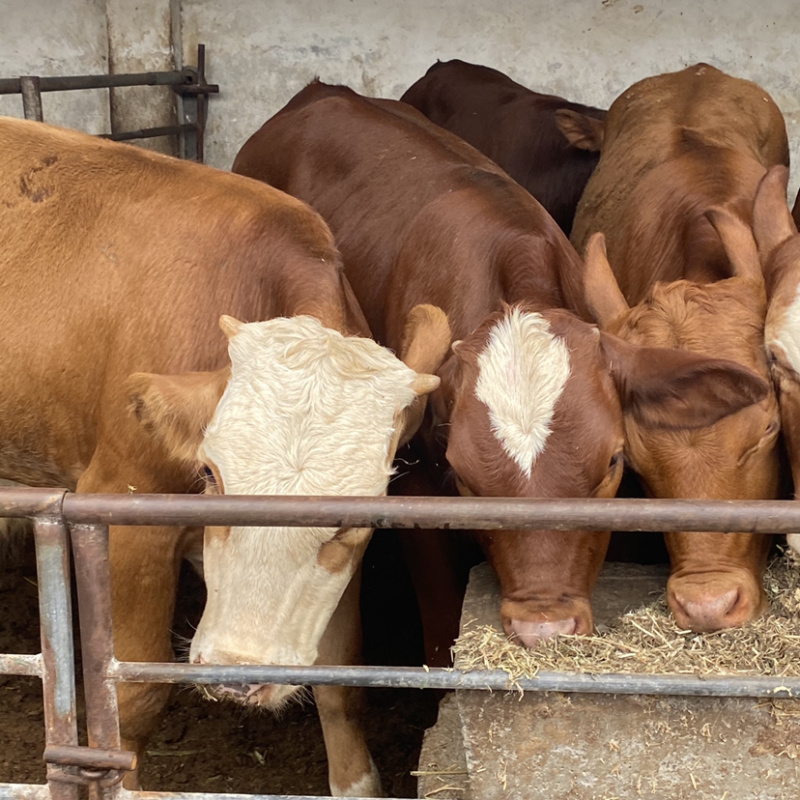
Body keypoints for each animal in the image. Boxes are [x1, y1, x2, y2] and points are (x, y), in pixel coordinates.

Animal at [0, 115, 446, 796]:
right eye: (210, 473)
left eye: (356, 511)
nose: (237, 672)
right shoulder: (122, 511)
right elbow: (133, 694)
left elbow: (339, 682)